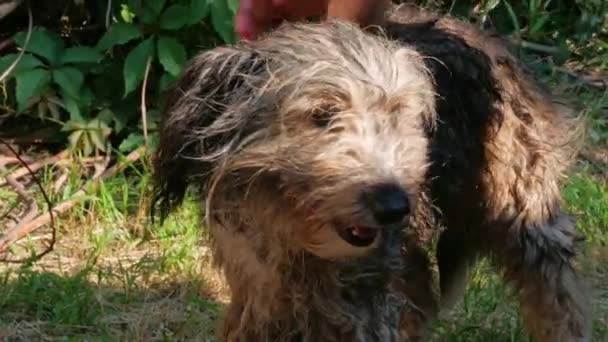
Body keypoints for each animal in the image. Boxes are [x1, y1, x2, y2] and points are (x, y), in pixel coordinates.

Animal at [154, 5, 592, 342]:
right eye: (322, 113)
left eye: (399, 114)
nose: (394, 206)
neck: (302, 248)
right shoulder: (259, 292)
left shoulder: (366, 298)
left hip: (523, 207)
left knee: (553, 288)